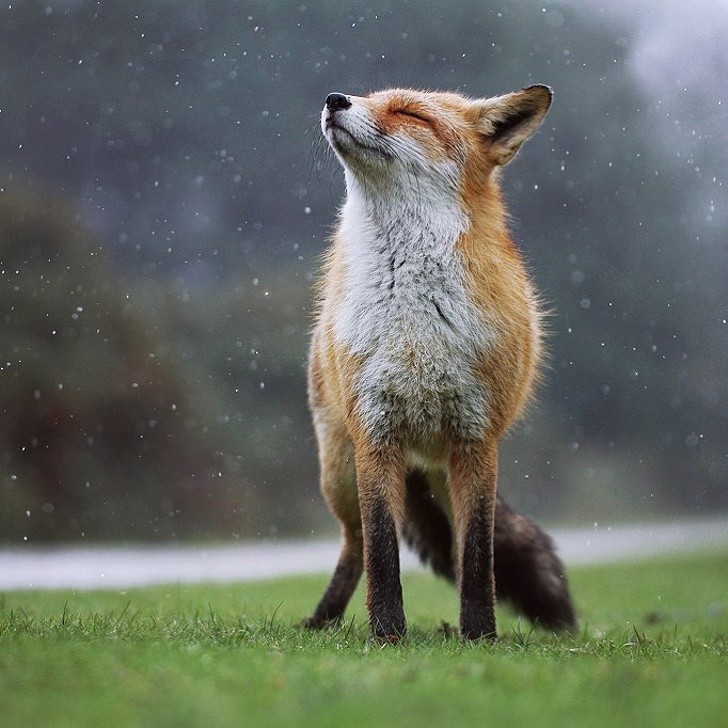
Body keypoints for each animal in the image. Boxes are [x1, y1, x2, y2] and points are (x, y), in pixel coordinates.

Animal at [302, 86, 576, 644]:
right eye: (367, 96)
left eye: (410, 113)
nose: (335, 98)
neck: (415, 324)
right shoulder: (375, 431)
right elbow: (383, 553)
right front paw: (387, 635)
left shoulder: (476, 439)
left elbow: (476, 557)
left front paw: (481, 637)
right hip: (339, 472)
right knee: (356, 544)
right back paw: (323, 620)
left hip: (447, 469)